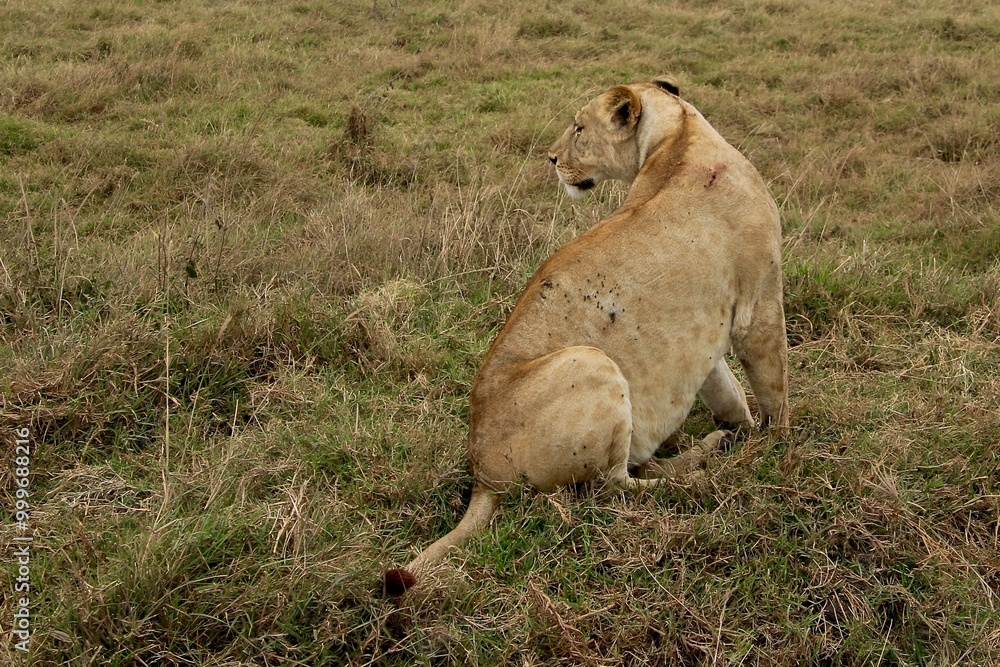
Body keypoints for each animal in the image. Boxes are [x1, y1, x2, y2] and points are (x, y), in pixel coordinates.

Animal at [384, 75, 789, 596]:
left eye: (579, 127)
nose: (551, 158)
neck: (679, 132)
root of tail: (482, 478)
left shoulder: (720, 325)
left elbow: (729, 390)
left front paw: (745, 432)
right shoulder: (759, 305)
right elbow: (773, 388)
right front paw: (777, 449)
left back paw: (714, 448)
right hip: (591, 362)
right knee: (612, 489)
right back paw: (705, 473)